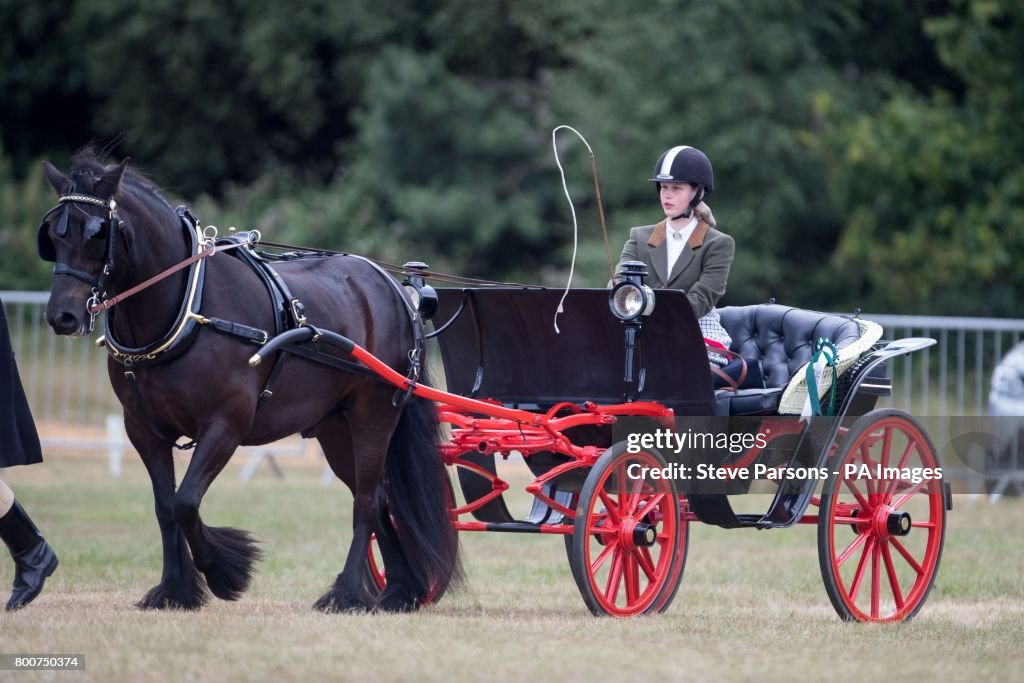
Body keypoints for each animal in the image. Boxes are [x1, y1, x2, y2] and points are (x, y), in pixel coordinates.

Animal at [37, 152, 460, 610]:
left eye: (97, 233)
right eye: (53, 235)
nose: (62, 316)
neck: (188, 308)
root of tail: (398, 292)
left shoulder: (226, 424)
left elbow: (186, 502)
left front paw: (226, 572)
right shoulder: (143, 430)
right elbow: (165, 508)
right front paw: (174, 589)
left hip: (374, 413)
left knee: (368, 500)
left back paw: (346, 592)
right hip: (335, 427)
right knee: (380, 499)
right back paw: (400, 589)